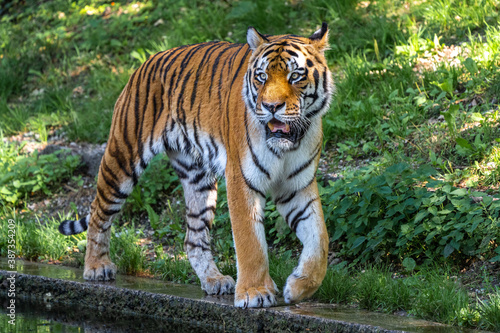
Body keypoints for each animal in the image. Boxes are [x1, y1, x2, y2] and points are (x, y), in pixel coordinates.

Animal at [57, 23, 332, 308]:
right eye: (261, 76)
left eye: (295, 76)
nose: (271, 107)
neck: (288, 145)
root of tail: (147, 62)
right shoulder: (241, 180)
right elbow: (250, 242)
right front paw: (254, 293)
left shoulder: (297, 186)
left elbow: (320, 240)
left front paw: (298, 287)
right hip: (122, 158)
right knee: (98, 212)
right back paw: (96, 267)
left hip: (198, 180)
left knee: (193, 238)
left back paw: (214, 280)